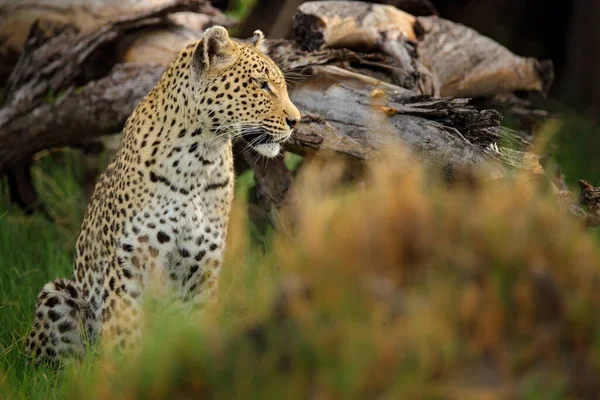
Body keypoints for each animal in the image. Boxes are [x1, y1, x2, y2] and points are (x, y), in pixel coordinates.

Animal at [24, 26, 300, 364]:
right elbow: (124, 339)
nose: (297, 121)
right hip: (58, 294)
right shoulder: (129, 266)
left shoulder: (202, 270)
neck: (198, 160)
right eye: (261, 85)